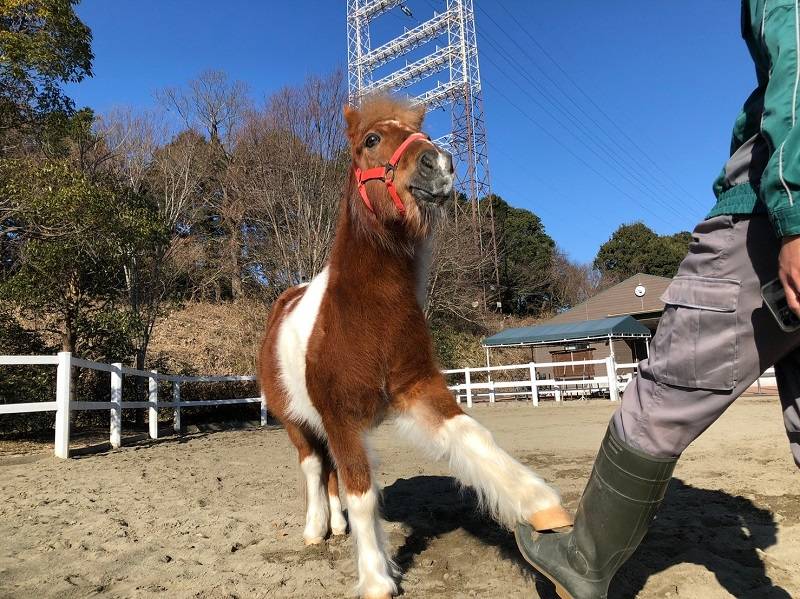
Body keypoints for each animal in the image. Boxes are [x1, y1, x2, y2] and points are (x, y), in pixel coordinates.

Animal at [258, 96, 571, 599]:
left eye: (418, 133)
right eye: (371, 140)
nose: (439, 162)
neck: (367, 319)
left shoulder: (417, 391)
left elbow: (473, 437)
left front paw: (540, 504)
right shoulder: (342, 415)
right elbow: (362, 493)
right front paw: (375, 577)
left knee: (329, 473)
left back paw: (338, 527)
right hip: (296, 421)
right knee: (312, 469)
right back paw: (315, 530)